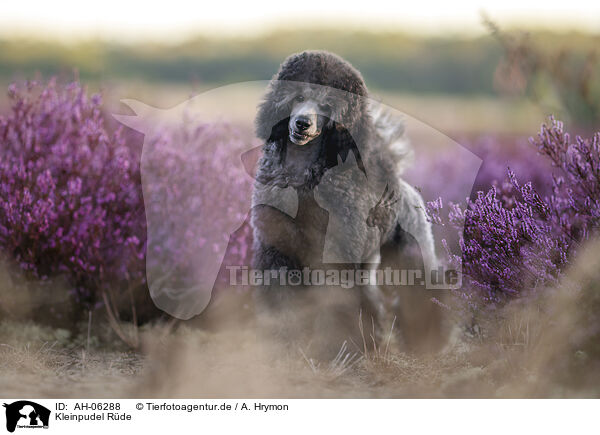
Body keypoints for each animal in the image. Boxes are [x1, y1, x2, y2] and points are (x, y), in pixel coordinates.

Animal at [251, 51, 448, 358]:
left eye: (327, 106)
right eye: (298, 96)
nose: (302, 123)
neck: (303, 181)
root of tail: (403, 187)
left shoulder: (335, 256)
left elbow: (335, 305)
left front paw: (333, 350)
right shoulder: (278, 251)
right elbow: (282, 300)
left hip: (412, 250)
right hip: (367, 264)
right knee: (372, 301)